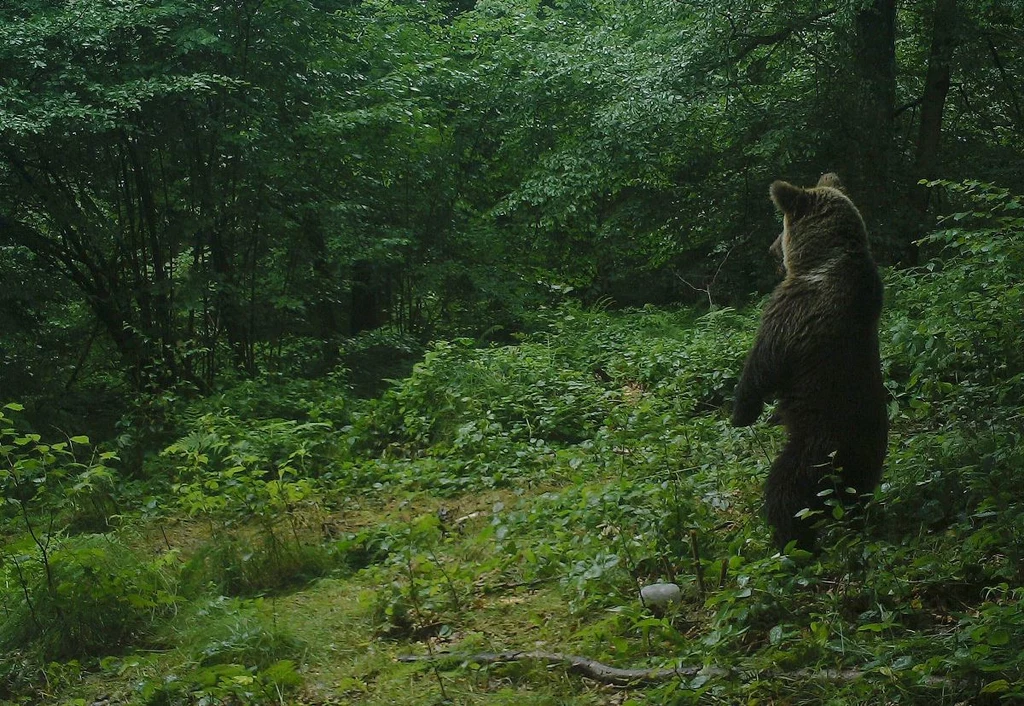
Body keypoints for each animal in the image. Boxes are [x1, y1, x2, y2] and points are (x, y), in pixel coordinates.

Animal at [729, 173, 888, 549]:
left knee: (787, 490)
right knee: (858, 494)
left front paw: (741, 413)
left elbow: (763, 362)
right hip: (866, 458)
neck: (823, 260)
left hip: (816, 444)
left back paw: (789, 541)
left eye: (781, 227)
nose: (772, 249)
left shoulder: (795, 311)